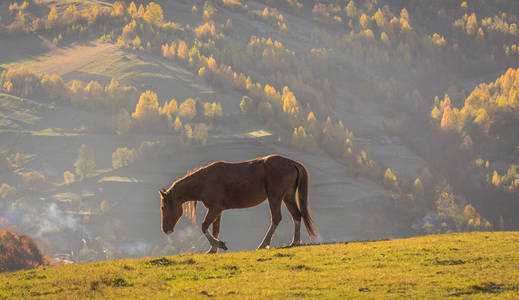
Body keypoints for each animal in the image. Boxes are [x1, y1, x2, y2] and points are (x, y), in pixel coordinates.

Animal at [158, 155, 316, 253]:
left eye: (163, 207)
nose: (166, 230)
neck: (204, 182)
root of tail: (292, 163)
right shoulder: (217, 211)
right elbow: (215, 229)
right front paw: (213, 249)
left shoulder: (215, 209)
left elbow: (204, 226)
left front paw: (219, 244)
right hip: (288, 197)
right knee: (296, 215)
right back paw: (295, 242)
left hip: (275, 198)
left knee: (276, 218)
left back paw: (263, 244)